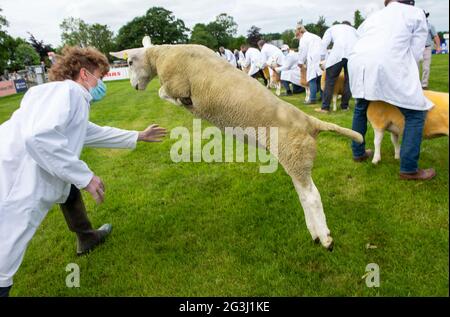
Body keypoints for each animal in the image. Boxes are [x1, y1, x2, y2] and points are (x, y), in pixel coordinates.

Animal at [110, 37, 364, 249]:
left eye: (130, 61)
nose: (134, 86)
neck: (161, 55)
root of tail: (311, 122)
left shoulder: (177, 84)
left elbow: (164, 93)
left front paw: (181, 102)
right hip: (295, 159)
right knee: (304, 196)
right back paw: (315, 233)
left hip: (295, 155)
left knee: (312, 197)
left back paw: (326, 238)